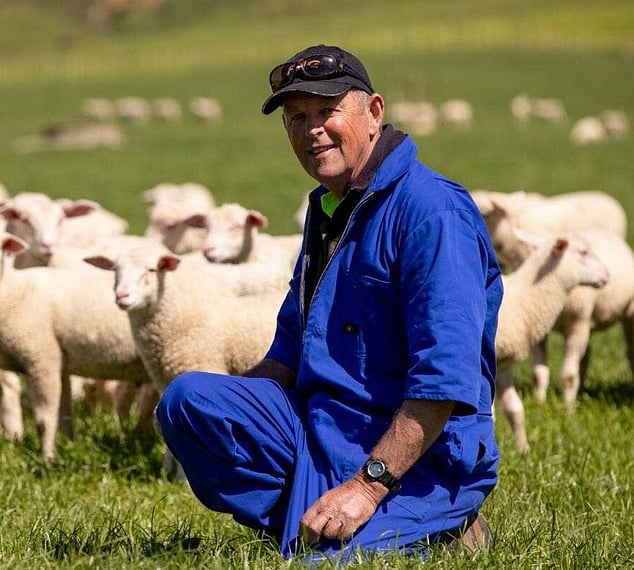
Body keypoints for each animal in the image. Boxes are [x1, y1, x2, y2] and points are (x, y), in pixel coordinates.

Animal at [0, 232, 153, 459]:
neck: (15, 290)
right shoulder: (58, 362)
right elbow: (64, 415)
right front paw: (71, 447)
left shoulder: (41, 358)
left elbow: (44, 420)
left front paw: (48, 458)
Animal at [495, 233, 609, 452]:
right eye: (583, 251)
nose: (607, 276)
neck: (525, 299)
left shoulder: (504, 364)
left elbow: (514, 408)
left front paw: (523, 450)